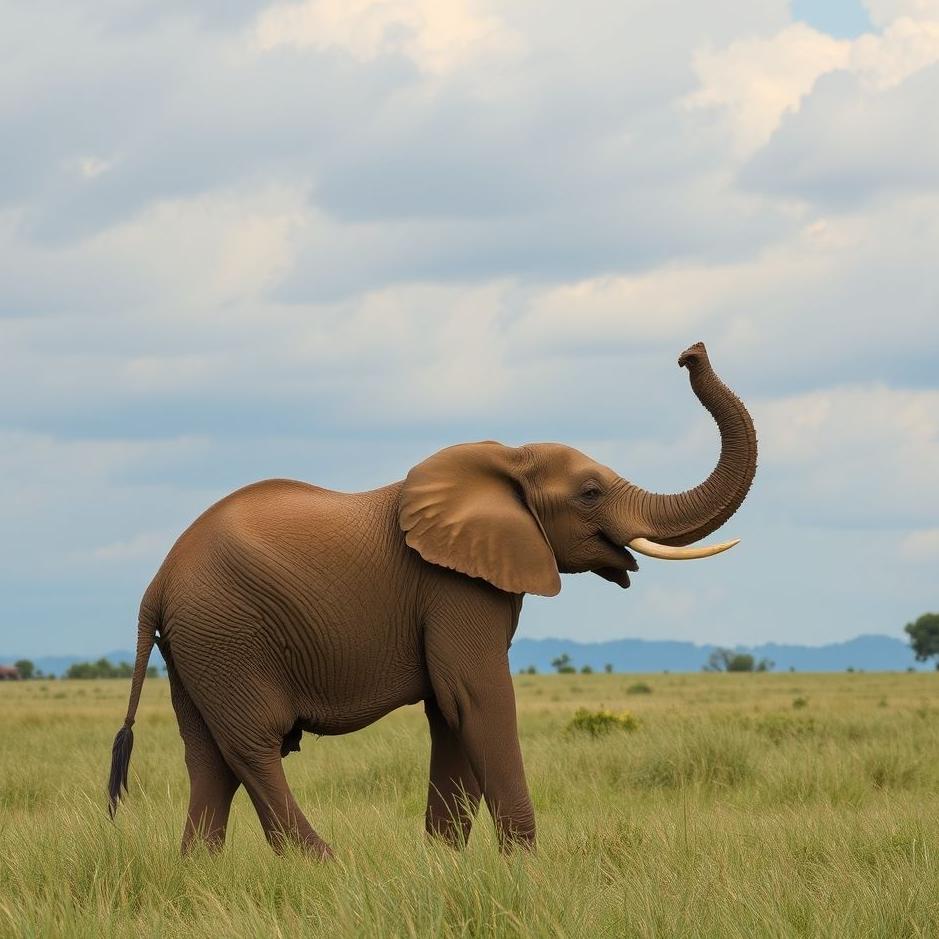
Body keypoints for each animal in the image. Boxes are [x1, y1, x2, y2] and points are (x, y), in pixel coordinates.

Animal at [107, 341, 757, 857]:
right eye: (591, 492)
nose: (689, 352)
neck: (507, 459)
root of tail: (157, 583)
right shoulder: (452, 585)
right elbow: (476, 696)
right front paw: (525, 869)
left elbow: (451, 710)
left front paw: (442, 863)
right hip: (226, 633)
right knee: (254, 746)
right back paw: (325, 867)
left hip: (197, 645)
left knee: (208, 757)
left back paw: (200, 873)